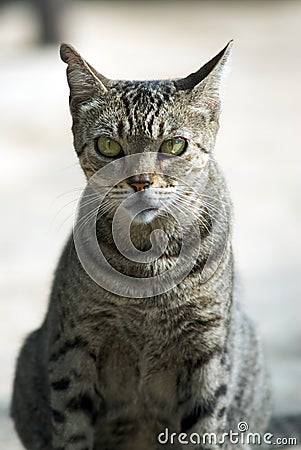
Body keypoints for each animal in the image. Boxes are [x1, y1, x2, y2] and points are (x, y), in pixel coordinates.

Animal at [11, 42, 274, 450]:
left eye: (175, 145)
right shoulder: (74, 348)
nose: (140, 181)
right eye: (108, 145)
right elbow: (72, 430)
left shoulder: (208, 351)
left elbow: (205, 429)